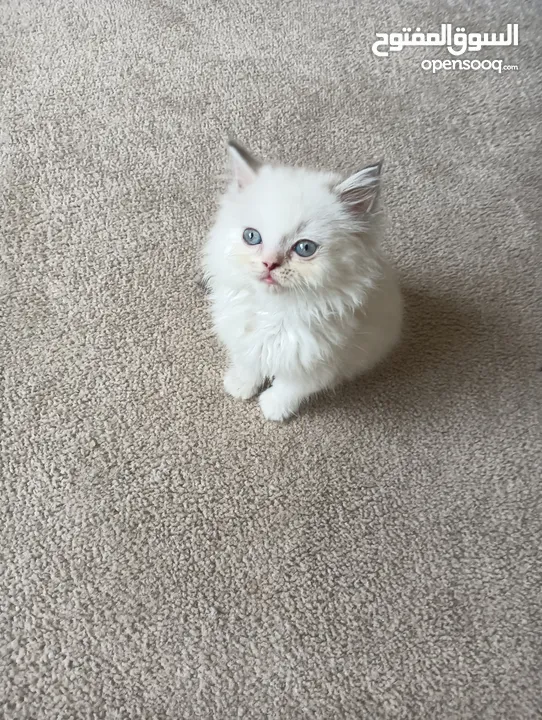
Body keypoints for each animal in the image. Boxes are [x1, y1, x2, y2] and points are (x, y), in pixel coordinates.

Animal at [204, 141, 404, 422]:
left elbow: (289, 389)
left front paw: (273, 409)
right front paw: (240, 386)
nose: (269, 264)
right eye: (252, 237)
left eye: (305, 248)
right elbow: (249, 363)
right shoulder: (243, 338)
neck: (273, 311)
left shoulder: (316, 364)